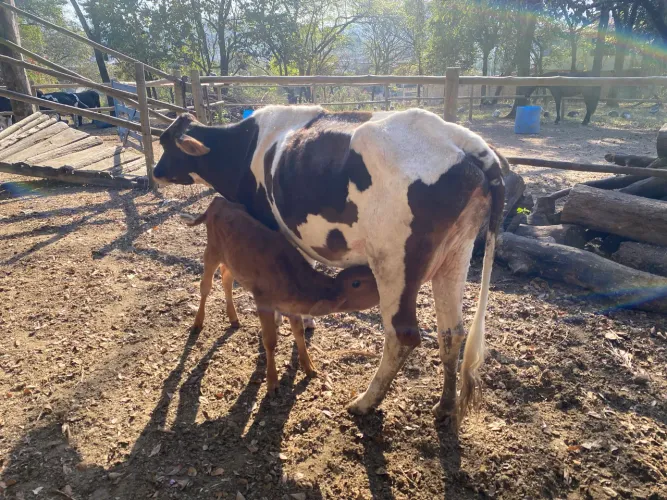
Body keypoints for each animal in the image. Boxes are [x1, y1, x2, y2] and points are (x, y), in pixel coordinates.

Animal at [185, 196, 380, 392]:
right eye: (356, 283)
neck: (295, 279)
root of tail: (218, 201)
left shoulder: (293, 308)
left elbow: (299, 333)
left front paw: (309, 368)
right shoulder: (263, 302)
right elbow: (270, 341)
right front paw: (272, 381)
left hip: (232, 261)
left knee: (226, 277)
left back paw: (233, 318)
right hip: (211, 251)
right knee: (206, 286)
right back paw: (197, 323)